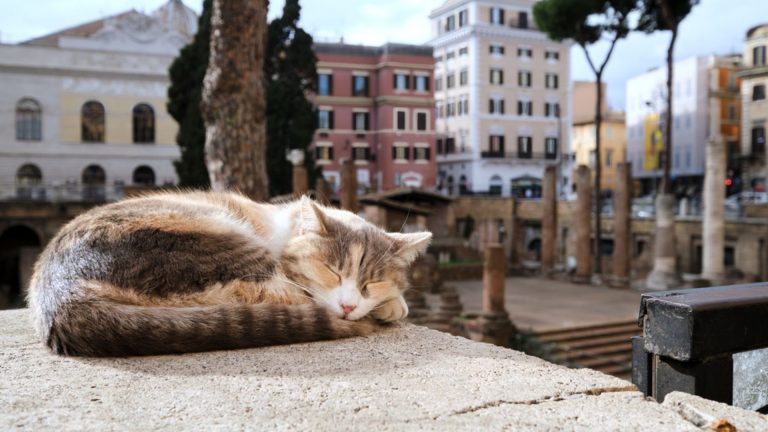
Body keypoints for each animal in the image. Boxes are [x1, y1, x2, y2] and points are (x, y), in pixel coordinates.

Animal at [27, 191, 428, 356]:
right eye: (330, 271)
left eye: (371, 282)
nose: (348, 306)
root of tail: (59, 295)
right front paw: (392, 306)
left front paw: (389, 301)